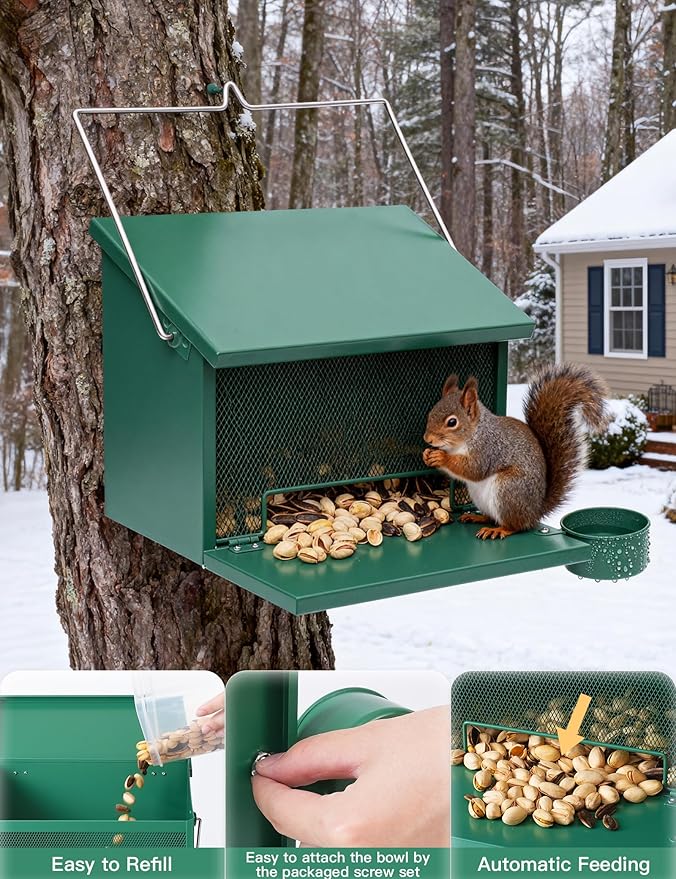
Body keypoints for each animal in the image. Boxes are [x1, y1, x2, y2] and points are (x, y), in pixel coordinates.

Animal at [421, 363, 609, 539]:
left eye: (452, 422)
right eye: (430, 414)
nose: (428, 439)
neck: (470, 436)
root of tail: (534, 513)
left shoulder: (488, 449)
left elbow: (473, 469)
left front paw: (441, 457)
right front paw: (426, 455)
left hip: (508, 491)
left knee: (515, 526)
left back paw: (498, 530)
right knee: (492, 517)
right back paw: (477, 517)